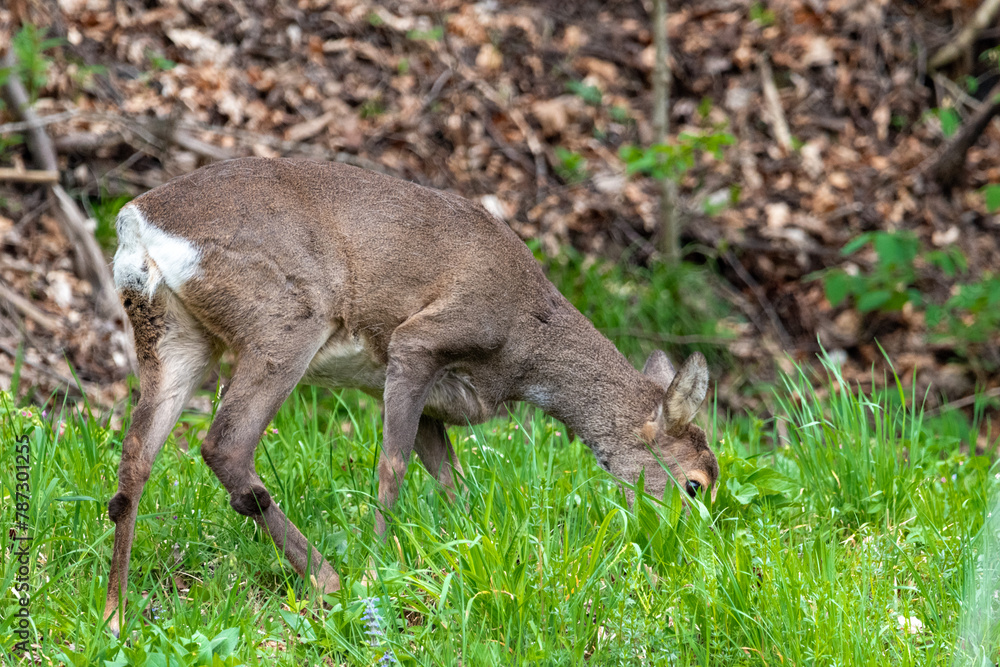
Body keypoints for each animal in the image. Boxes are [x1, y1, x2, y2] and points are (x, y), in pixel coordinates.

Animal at [103, 157, 719, 635]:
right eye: (695, 485)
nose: (696, 550)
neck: (524, 348)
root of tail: (138, 225)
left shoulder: (423, 395)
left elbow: (451, 480)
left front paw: (474, 546)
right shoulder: (420, 338)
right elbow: (392, 464)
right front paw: (377, 569)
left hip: (174, 334)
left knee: (135, 457)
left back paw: (114, 615)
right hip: (284, 318)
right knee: (225, 445)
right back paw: (328, 578)